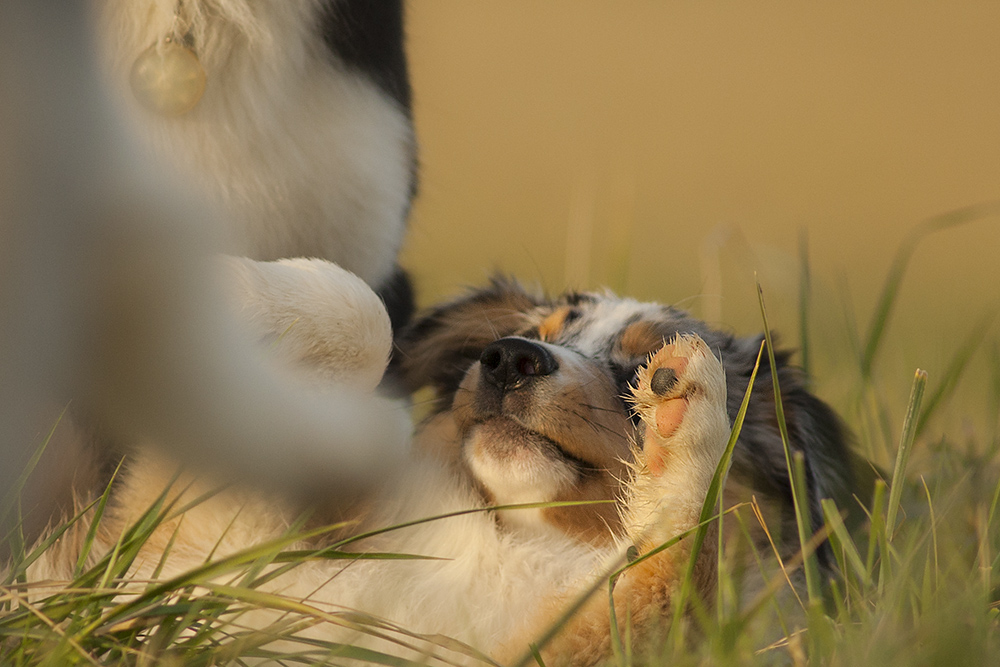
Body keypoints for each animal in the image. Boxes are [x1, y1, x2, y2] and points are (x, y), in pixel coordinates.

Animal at [29, 258, 852, 664]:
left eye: (634, 367)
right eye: (538, 333)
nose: (508, 358)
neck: (515, 538)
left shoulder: (560, 645)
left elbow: (680, 557)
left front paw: (682, 403)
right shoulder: (190, 539)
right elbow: (363, 311)